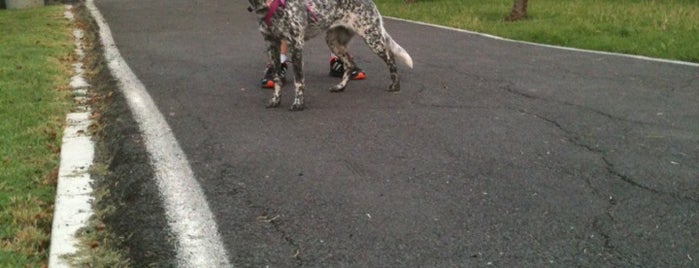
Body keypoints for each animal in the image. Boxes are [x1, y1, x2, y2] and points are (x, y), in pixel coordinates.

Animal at [247, 0, 412, 111]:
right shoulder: (271, 45)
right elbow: (277, 79)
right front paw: (275, 100)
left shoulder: (296, 45)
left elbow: (299, 82)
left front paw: (299, 103)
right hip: (333, 41)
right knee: (350, 63)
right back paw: (340, 87)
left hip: (372, 37)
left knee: (391, 58)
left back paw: (395, 85)